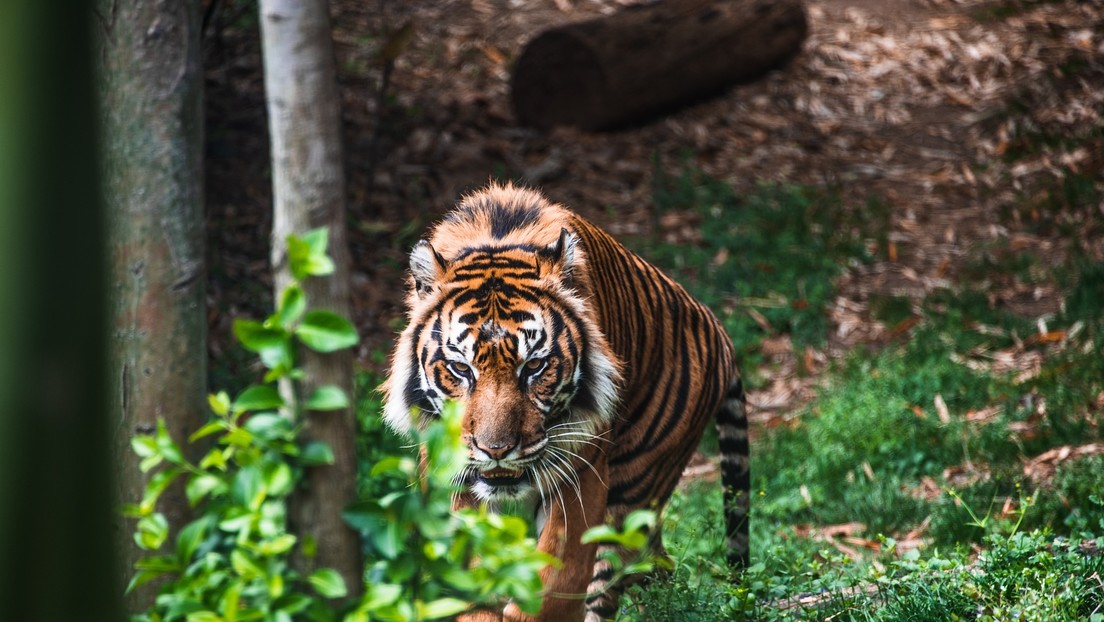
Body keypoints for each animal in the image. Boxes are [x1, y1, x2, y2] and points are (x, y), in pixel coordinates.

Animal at [382, 183, 749, 621]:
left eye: (534, 366)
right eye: (460, 368)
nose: (496, 450)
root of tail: (720, 333)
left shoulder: (581, 470)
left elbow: (557, 582)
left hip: (633, 489)